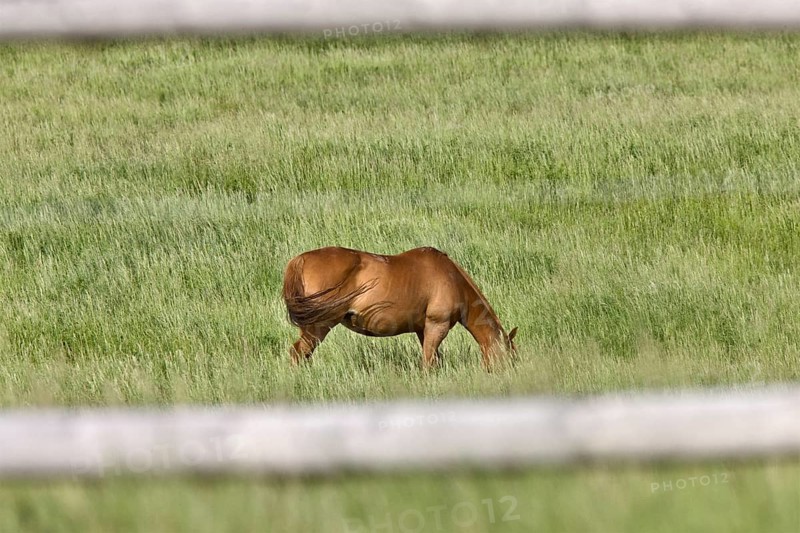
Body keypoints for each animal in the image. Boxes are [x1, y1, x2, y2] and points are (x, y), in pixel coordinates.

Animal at [282, 246, 517, 370]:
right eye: (511, 358)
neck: (453, 280)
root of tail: (300, 260)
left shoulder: (423, 330)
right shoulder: (437, 327)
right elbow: (428, 363)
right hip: (319, 326)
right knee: (298, 353)